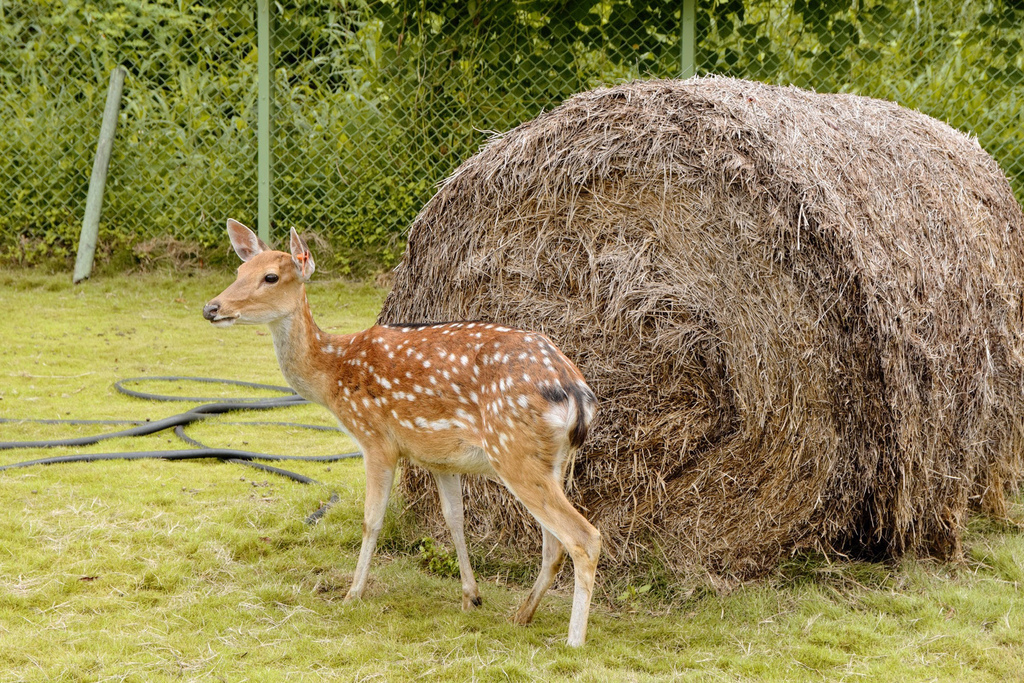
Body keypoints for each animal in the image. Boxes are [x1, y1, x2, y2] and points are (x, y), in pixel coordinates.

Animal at [200, 222, 598, 651]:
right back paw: (522, 615)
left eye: (271, 277)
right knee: (554, 545)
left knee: (584, 537)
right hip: (552, 462)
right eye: (239, 271)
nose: (212, 308)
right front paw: (470, 597)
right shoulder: (441, 458)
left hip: (514, 452)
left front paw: (352, 593)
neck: (333, 375)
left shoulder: (376, 439)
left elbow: (372, 519)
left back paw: (574, 640)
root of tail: (577, 393)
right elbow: (454, 520)